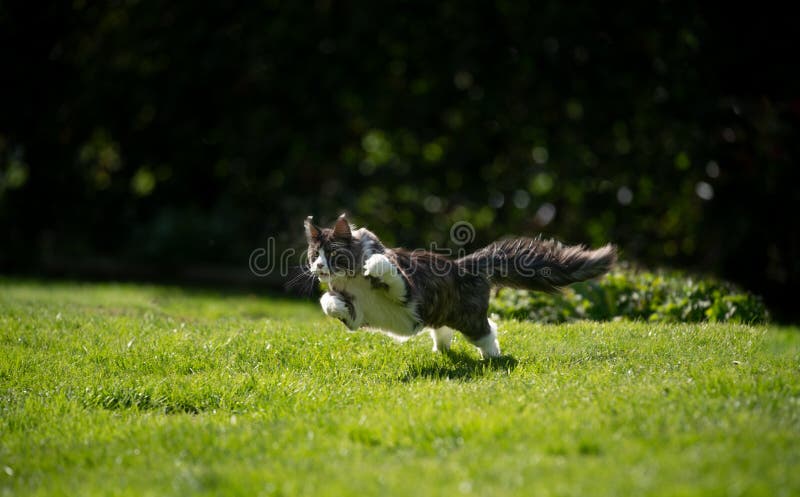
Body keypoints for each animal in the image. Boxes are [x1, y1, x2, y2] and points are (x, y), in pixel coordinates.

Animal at [304, 213, 616, 356]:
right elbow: (328, 302)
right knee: (444, 329)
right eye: (314, 254)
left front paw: (373, 266)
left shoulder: (408, 290)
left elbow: (385, 268)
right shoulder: (357, 318)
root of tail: (465, 265)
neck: (352, 279)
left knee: (489, 331)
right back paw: (441, 349)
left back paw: (493, 358)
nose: (318, 267)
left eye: (331, 254)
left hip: (470, 318)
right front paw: (335, 304)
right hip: (443, 314)